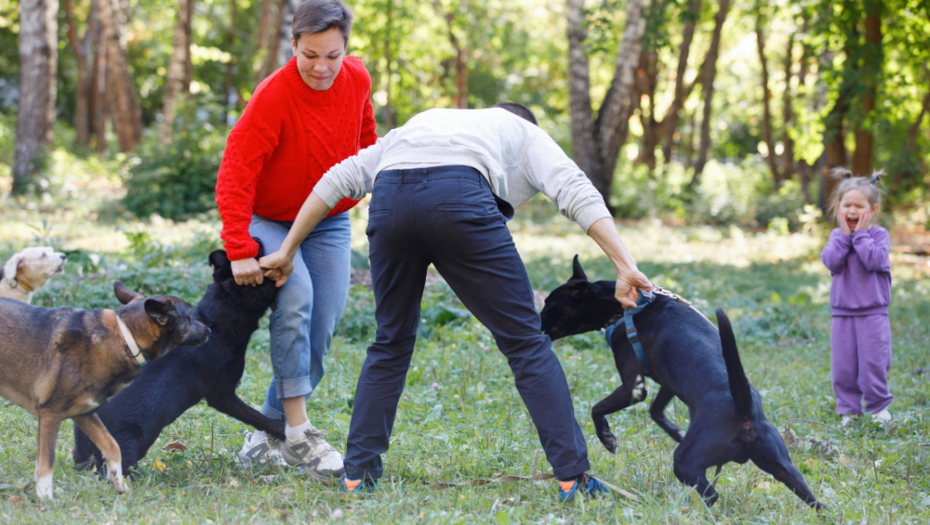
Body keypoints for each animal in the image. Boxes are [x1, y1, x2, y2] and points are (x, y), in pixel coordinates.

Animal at [0, 280, 208, 498]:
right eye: (189, 318)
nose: (209, 330)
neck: (126, 338)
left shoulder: (84, 414)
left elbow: (112, 446)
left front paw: (118, 483)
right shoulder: (51, 413)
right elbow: (46, 463)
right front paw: (45, 497)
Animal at [536, 256, 820, 510]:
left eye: (549, 305)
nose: (535, 323)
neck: (625, 308)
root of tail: (746, 412)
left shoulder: (634, 387)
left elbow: (597, 409)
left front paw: (607, 438)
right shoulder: (667, 384)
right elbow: (655, 411)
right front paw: (676, 432)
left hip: (686, 463)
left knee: (711, 495)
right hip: (784, 468)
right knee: (815, 501)